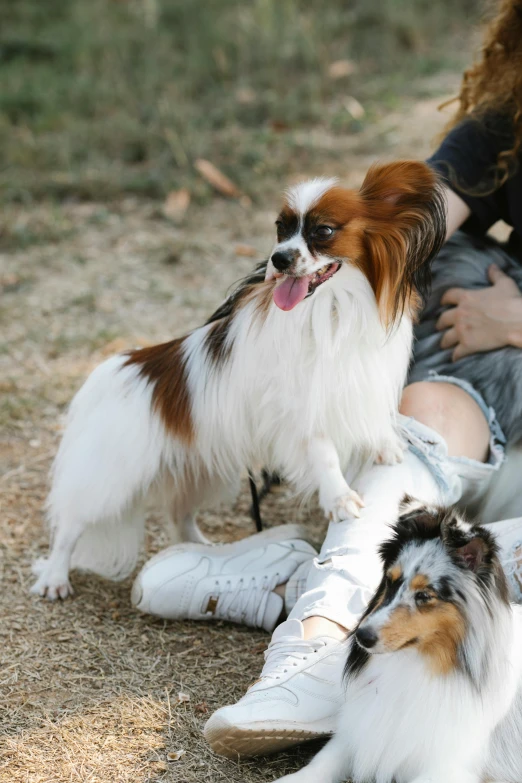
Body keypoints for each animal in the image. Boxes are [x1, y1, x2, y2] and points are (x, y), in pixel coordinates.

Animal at [30, 161, 442, 600]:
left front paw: (385, 445)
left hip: (199, 471)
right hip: (111, 480)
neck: (332, 309)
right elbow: (325, 453)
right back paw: (55, 577)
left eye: (323, 231)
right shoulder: (300, 408)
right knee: (71, 524)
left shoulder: (360, 379)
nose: (278, 258)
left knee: (179, 514)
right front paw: (339, 498)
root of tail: (121, 367)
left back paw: (201, 551)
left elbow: (375, 418)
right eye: (280, 228)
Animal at [270, 496, 520, 783]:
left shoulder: (449, 767)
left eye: (424, 595)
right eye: (390, 581)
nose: (361, 636)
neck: (417, 663)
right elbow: (321, 762)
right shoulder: (359, 731)